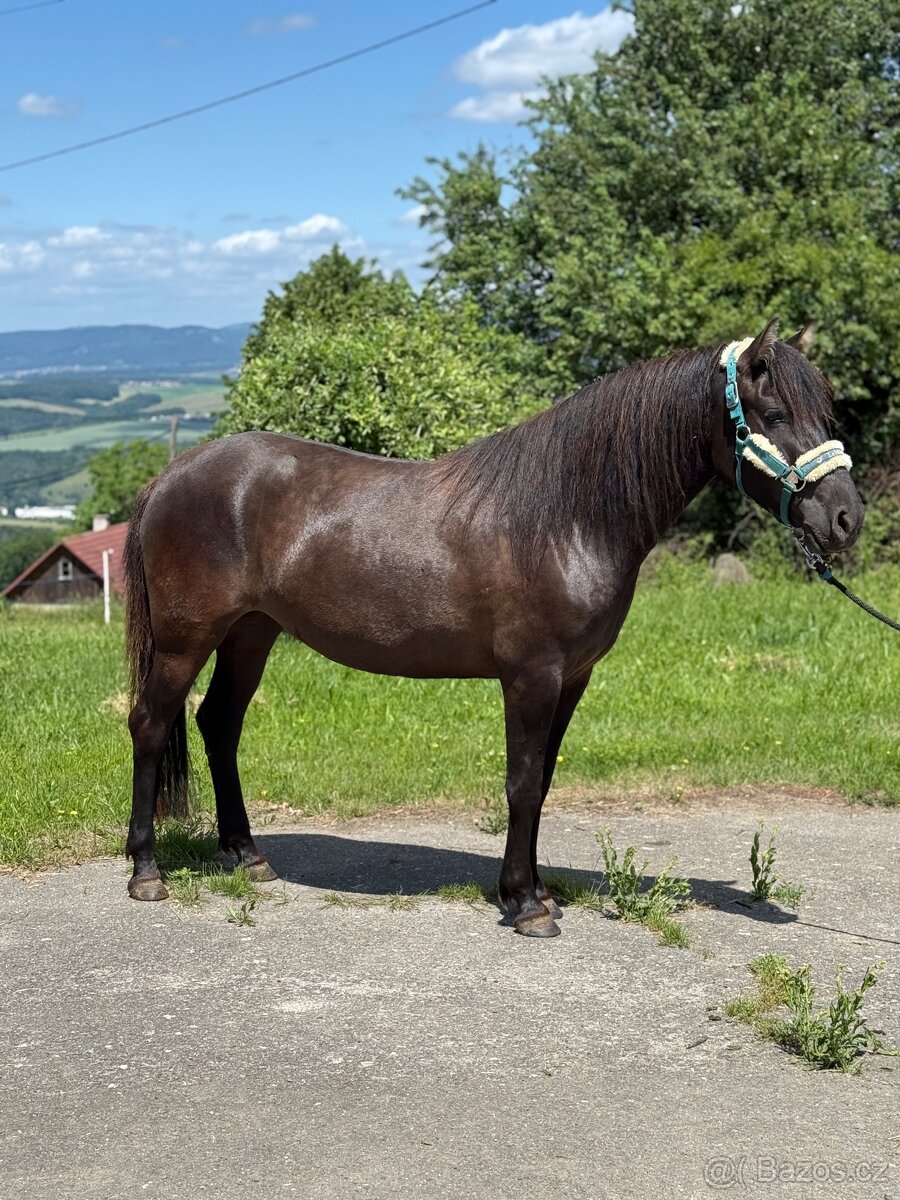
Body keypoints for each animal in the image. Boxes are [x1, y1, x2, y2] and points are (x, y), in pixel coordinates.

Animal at [122, 318, 864, 937]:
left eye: (824, 412)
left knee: (219, 723)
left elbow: (545, 780)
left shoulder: (572, 678)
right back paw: (146, 872)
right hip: (188, 639)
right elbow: (523, 781)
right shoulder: (531, 677)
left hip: (251, 632)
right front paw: (526, 904)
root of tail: (171, 475)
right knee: (151, 725)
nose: (846, 518)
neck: (567, 516)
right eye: (773, 415)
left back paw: (246, 856)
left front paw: (532, 890)